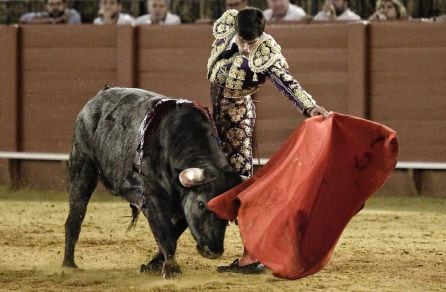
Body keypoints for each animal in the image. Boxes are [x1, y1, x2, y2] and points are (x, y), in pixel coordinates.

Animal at [61, 87, 240, 278]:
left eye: (230, 214)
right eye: (201, 204)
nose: (213, 252)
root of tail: (97, 97)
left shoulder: (182, 205)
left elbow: (172, 232)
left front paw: (153, 265)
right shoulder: (153, 198)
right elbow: (165, 233)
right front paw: (171, 269)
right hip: (82, 167)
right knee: (75, 216)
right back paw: (69, 264)